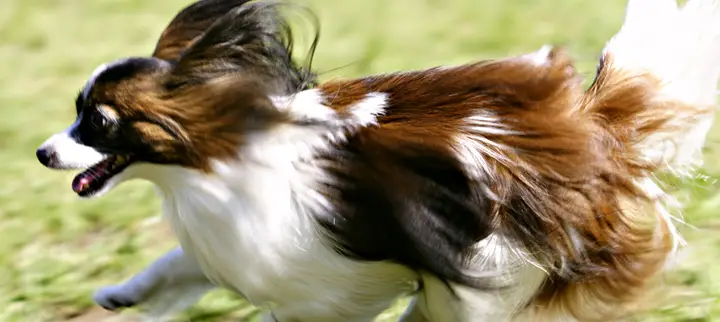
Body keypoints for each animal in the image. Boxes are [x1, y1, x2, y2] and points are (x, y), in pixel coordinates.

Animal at [36, 0, 720, 320]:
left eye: (98, 122)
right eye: (77, 110)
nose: (43, 152)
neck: (212, 159)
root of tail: (591, 127)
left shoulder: (303, 277)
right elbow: (173, 264)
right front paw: (120, 294)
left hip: (494, 273)